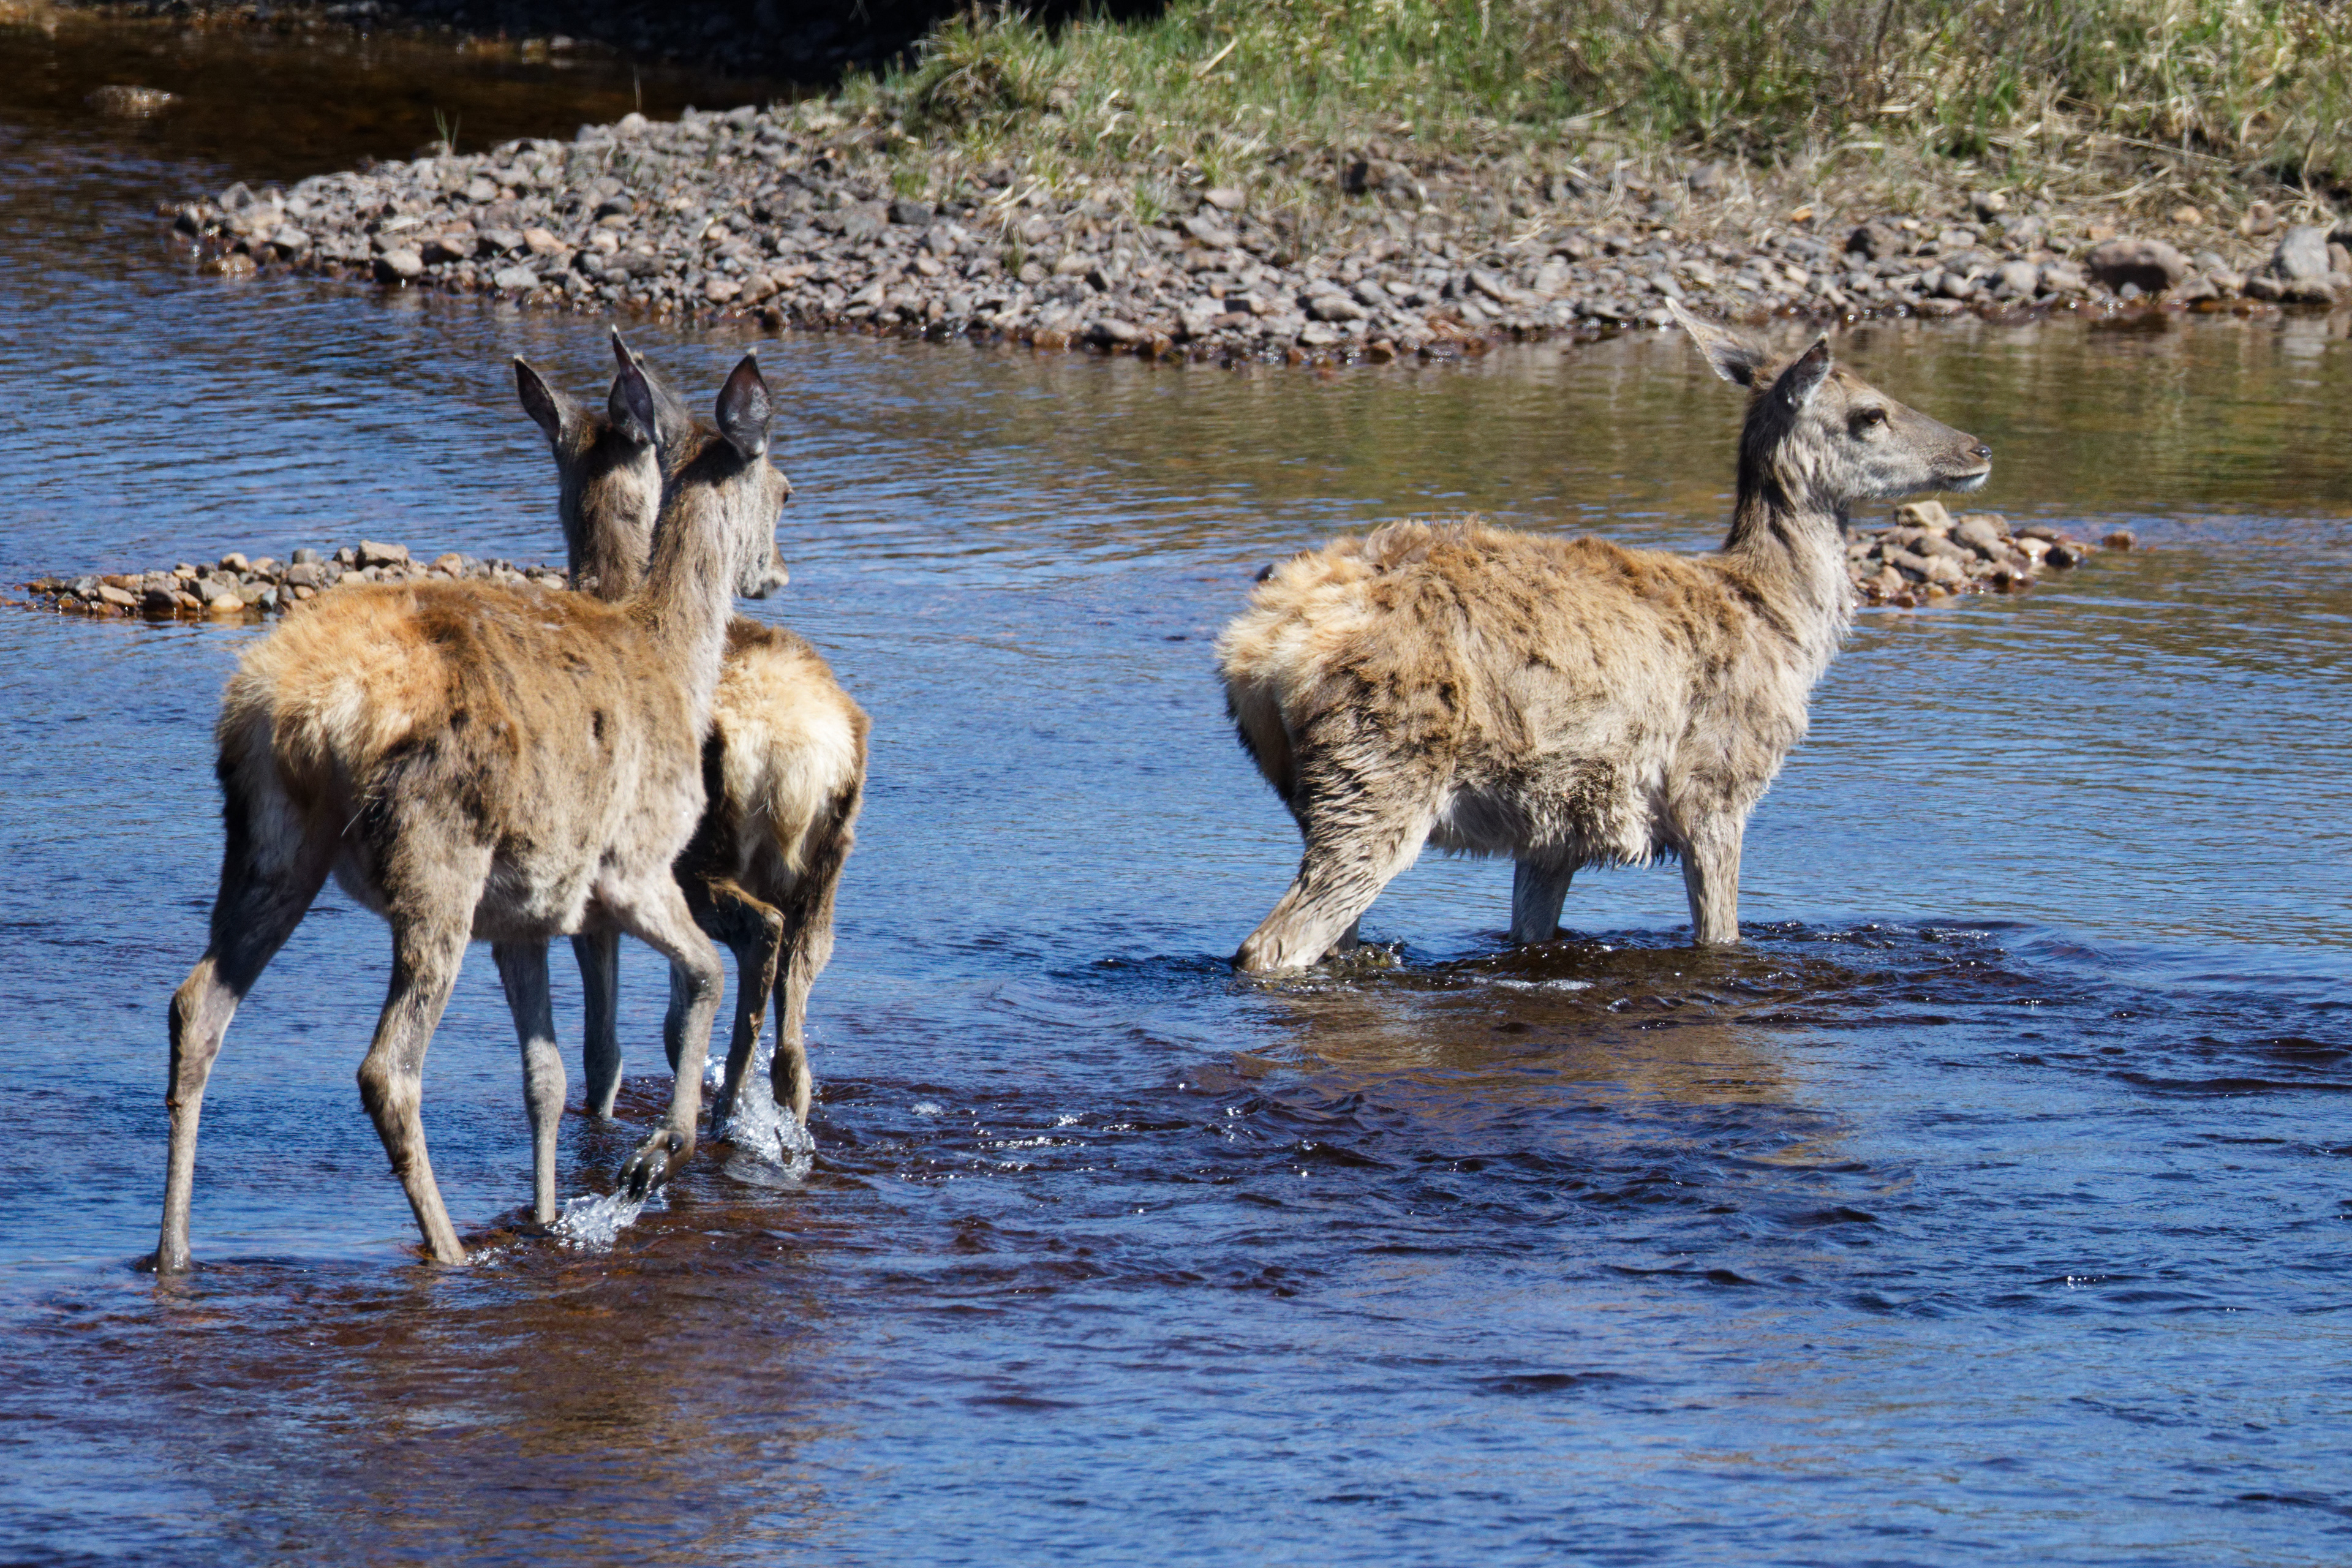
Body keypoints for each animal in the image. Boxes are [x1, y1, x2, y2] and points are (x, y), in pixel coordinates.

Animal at [156, 336, 791, 1274]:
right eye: (786, 490)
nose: (775, 571)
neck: (677, 660)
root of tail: (295, 713)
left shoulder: (524, 916)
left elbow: (547, 1078)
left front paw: (552, 1214)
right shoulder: (634, 865)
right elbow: (702, 974)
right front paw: (653, 1157)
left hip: (271, 842)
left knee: (196, 1006)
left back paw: (174, 1252)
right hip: (436, 855)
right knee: (388, 1067)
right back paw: (450, 1249)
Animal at [512, 353, 868, 1136]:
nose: (774, 572)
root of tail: (805, 757)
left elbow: (606, 1046)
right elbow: (674, 1025)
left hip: (700, 861)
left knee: (758, 944)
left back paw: (725, 1111)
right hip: (826, 880)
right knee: (797, 1038)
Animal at [1215, 302, 1992, 973]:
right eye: (1871, 413)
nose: (1978, 447)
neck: (1781, 624)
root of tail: (1255, 655)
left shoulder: (1555, 822)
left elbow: (1531, 929)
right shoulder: (1715, 782)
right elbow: (1720, 933)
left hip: (1315, 788)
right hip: (1381, 765)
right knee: (1275, 943)